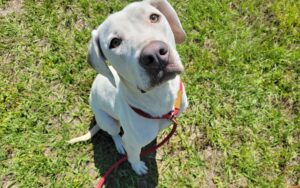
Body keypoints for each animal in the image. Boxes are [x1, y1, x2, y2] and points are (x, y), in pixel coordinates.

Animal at [69, 0, 189, 176]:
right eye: (115, 42)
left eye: (154, 17)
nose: (155, 55)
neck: (160, 96)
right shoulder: (132, 143)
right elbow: (133, 157)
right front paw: (137, 167)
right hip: (108, 121)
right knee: (113, 133)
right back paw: (119, 144)